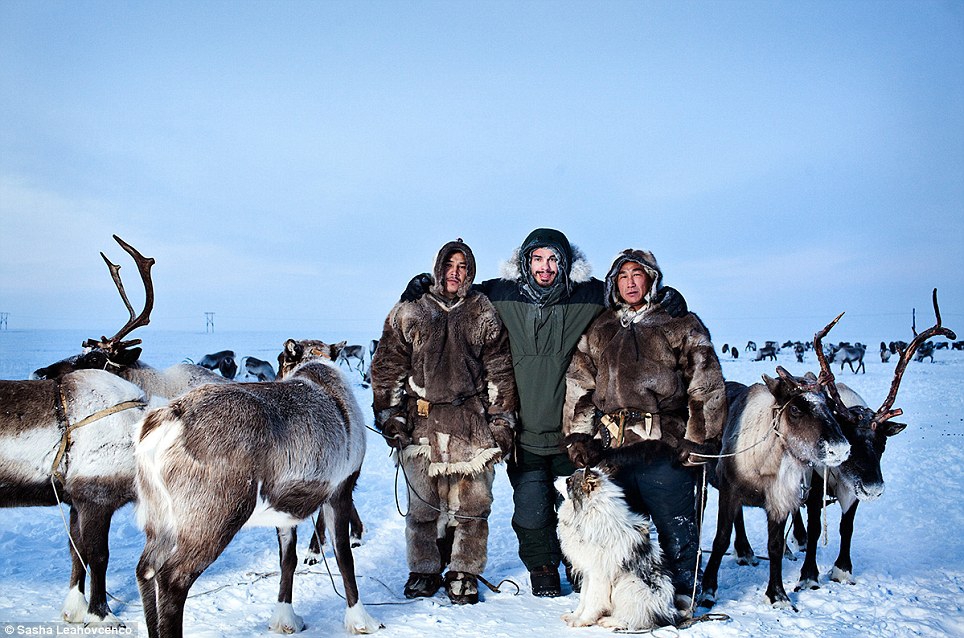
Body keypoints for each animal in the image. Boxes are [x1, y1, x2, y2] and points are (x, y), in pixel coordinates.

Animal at [552, 468, 680, 632]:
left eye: (569, 480)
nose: (554, 477)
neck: (589, 512)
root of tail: (668, 615)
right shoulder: (588, 572)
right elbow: (583, 597)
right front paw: (575, 616)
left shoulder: (598, 574)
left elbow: (592, 599)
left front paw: (583, 620)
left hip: (630, 585)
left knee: (637, 621)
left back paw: (611, 621)